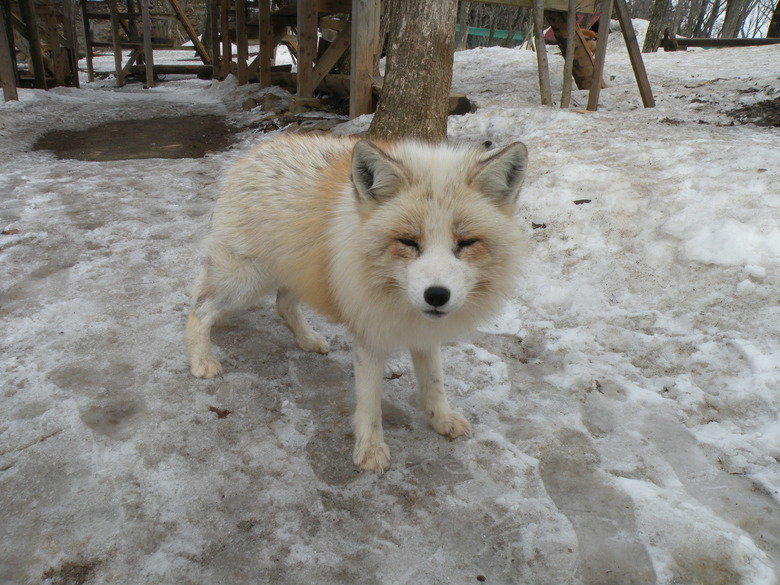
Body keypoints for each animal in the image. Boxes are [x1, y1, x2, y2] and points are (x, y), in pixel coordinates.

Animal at [184, 135, 528, 472]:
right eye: (408, 241)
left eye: (466, 243)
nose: (436, 295)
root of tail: (256, 149)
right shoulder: (369, 334)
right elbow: (371, 403)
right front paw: (370, 451)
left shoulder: (423, 332)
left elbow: (434, 382)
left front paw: (440, 419)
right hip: (245, 281)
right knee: (198, 309)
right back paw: (201, 361)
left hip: (299, 272)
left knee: (283, 305)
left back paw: (308, 340)